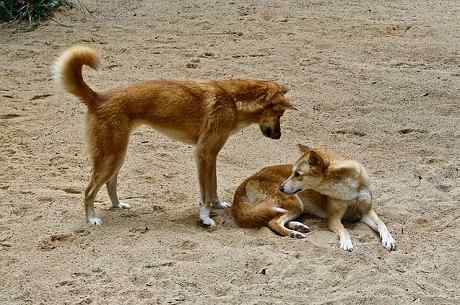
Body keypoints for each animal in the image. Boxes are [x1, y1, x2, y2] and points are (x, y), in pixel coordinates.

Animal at [53, 45, 294, 226]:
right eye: (279, 113)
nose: (279, 136)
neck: (233, 101)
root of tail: (98, 97)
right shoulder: (203, 154)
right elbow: (204, 194)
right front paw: (205, 217)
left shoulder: (211, 155)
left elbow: (213, 185)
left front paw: (217, 205)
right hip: (110, 156)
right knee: (89, 191)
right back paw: (92, 219)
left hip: (117, 155)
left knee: (110, 183)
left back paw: (117, 205)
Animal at [232, 144, 398, 251]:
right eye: (292, 172)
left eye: (297, 174)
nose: (281, 187)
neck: (347, 187)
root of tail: (249, 179)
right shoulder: (334, 218)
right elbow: (344, 229)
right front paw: (346, 242)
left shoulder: (365, 212)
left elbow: (382, 224)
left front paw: (388, 239)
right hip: (295, 203)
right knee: (273, 222)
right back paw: (294, 233)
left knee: (273, 219)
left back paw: (298, 226)